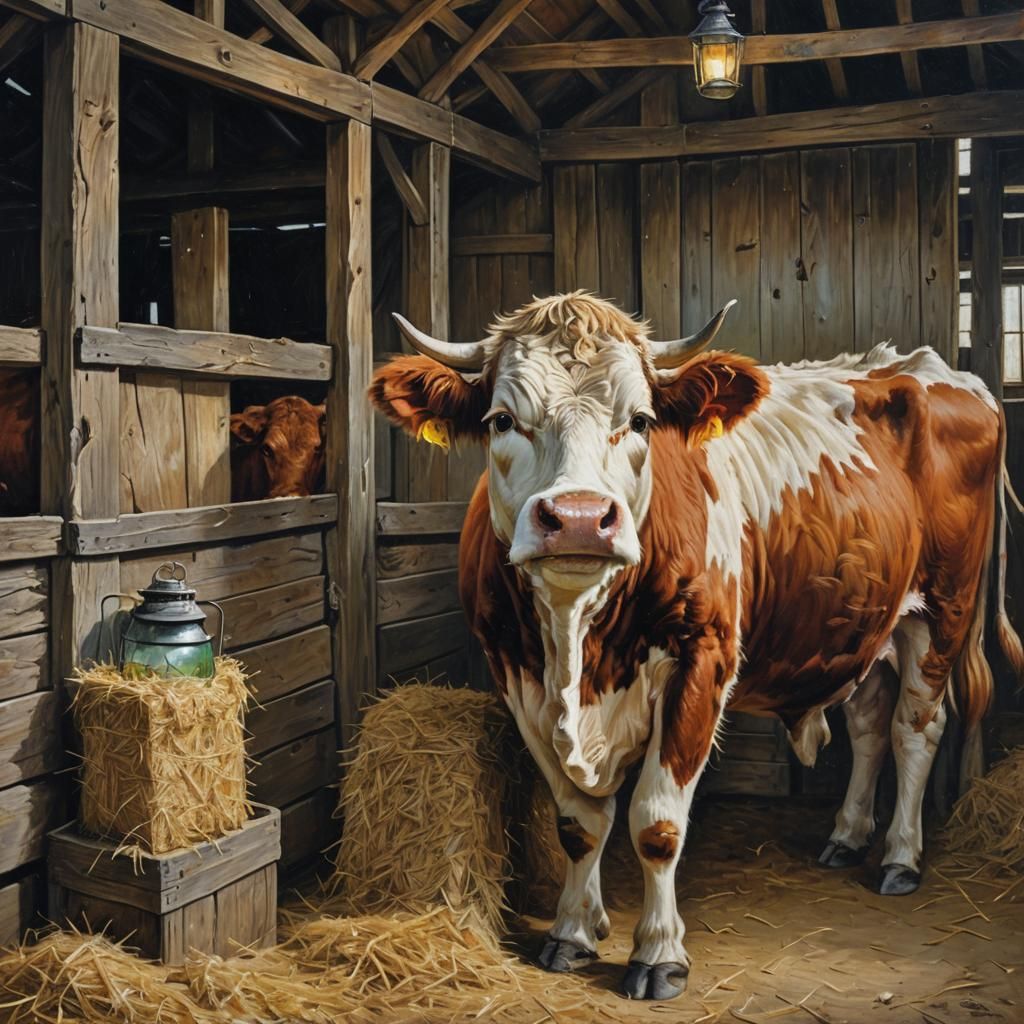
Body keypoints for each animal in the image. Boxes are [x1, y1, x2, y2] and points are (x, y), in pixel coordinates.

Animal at [368, 292, 1023, 1001]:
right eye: (501, 420)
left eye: (641, 420)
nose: (578, 518)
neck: (579, 651)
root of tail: (926, 366)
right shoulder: (517, 677)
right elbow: (578, 823)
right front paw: (574, 931)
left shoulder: (701, 663)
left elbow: (655, 823)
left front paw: (658, 955)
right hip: (860, 621)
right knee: (871, 724)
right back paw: (848, 837)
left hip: (942, 609)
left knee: (915, 729)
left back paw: (901, 857)